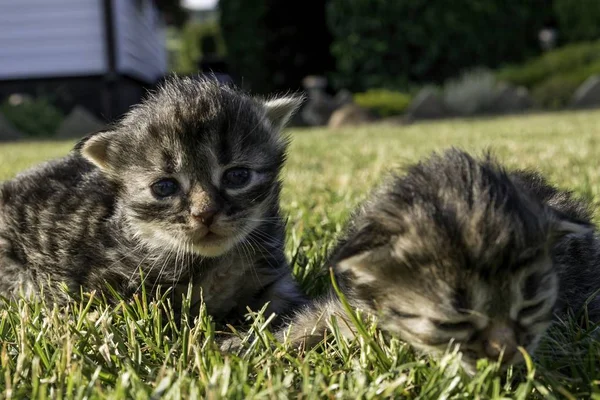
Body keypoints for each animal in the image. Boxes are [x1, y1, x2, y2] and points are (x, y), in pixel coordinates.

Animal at [262, 148, 600, 374]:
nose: (507, 355)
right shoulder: (350, 303)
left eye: (530, 308)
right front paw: (264, 349)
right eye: (453, 324)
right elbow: (312, 320)